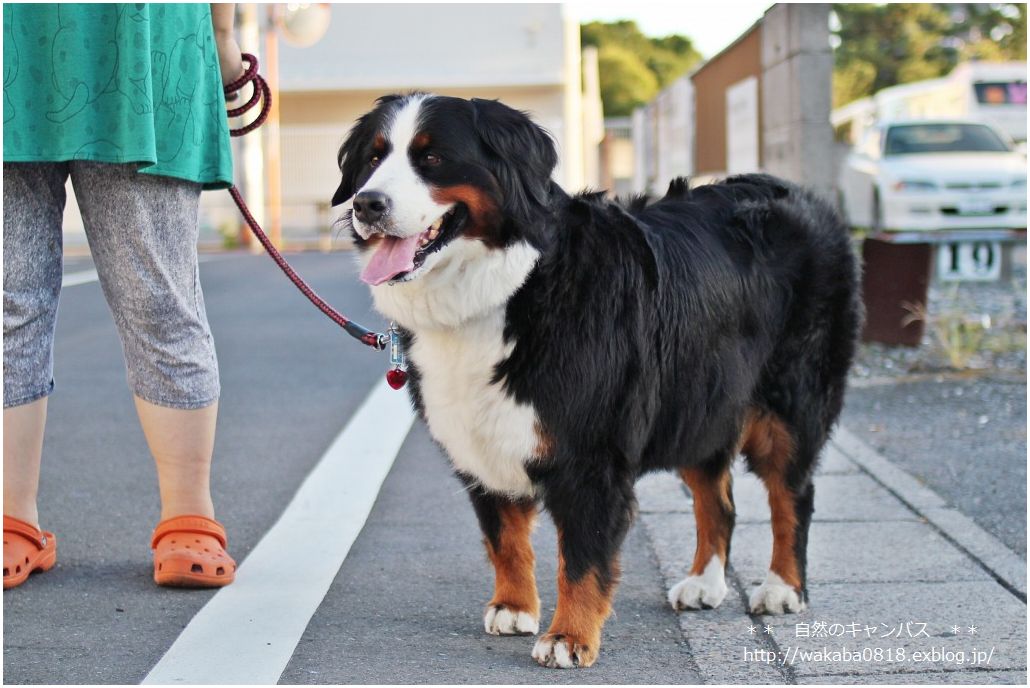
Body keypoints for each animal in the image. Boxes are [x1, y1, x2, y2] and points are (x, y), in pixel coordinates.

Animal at [329, 94, 861, 667]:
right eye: (373, 159)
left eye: (431, 159)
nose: (367, 204)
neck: (508, 289)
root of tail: (803, 196)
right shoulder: (482, 441)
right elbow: (504, 536)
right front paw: (514, 607)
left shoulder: (590, 456)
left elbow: (581, 558)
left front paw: (568, 637)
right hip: (700, 401)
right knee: (718, 500)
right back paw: (704, 583)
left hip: (790, 403)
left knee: (792, 495)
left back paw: (783, 587)